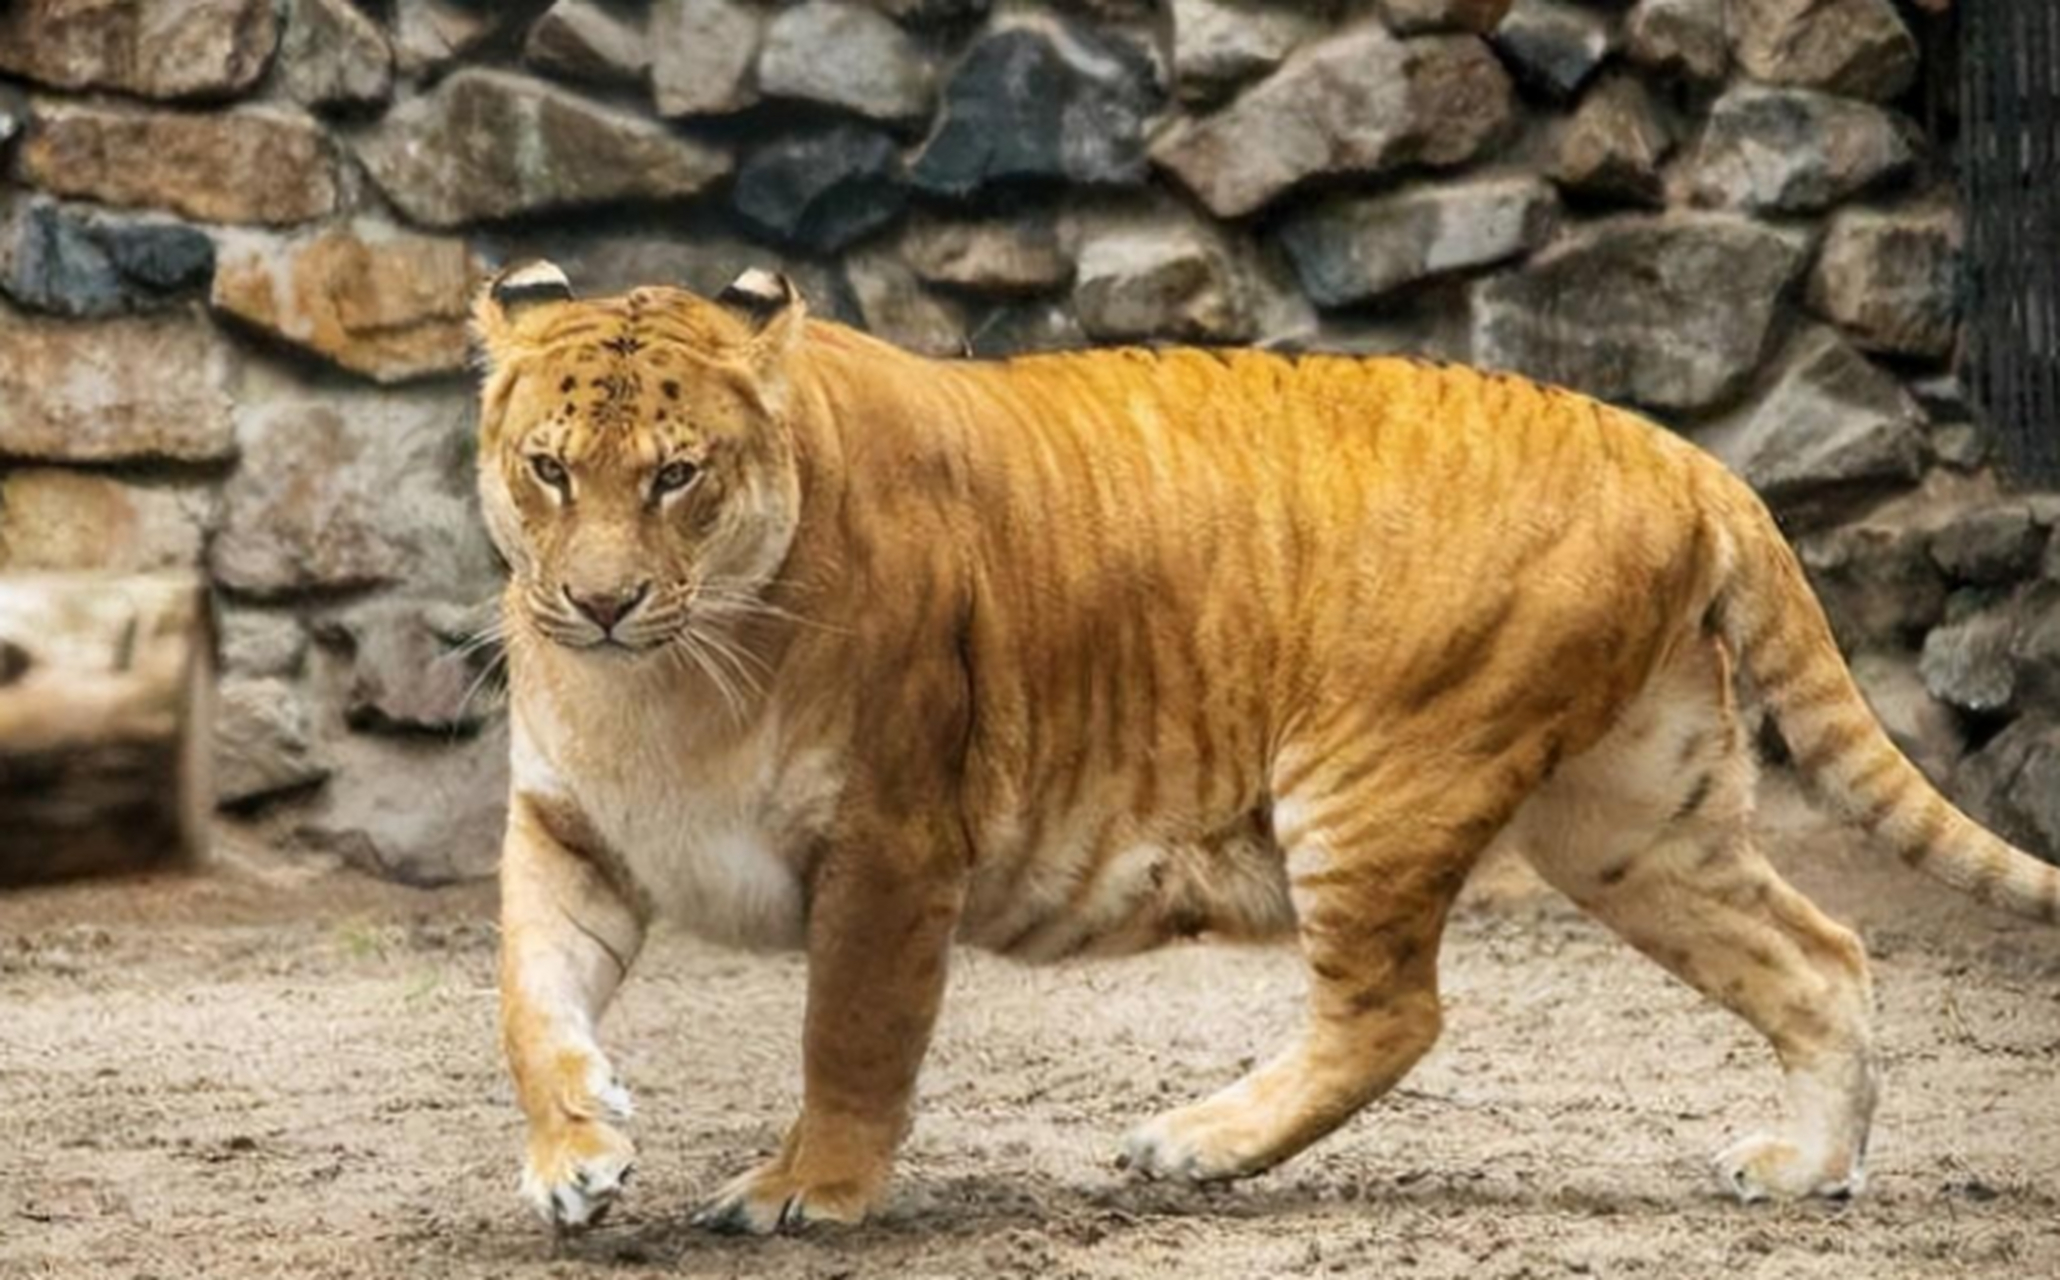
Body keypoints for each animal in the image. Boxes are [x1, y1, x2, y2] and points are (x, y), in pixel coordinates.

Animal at [473, 260, 2060, 1237]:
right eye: (547, 468)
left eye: (676, 478)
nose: (598, 602)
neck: (667, 690)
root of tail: (1675, 446)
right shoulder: (564, 831)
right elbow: (529, 1006)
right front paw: (576, 1159)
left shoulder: (894, 841)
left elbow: (850, 1032)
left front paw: (811, 1191)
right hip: (1633, 823)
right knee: (1823, 955)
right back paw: (1806, 1168)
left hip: (1378, 773)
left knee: (1393, 1012)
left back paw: (1192, 1144)